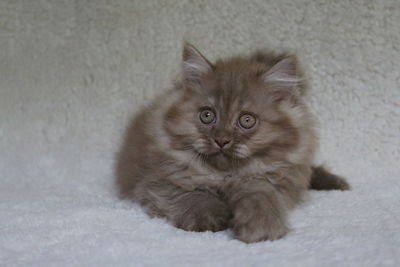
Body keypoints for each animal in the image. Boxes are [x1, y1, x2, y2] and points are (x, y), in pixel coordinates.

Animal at [114, 43, 348, 243]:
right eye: (207, 115)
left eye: (247, 120)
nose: (221, 140)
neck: (225, 176)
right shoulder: (158, 180)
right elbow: (192, 194)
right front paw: (210, 217)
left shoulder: (270, 181)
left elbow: (261, 196)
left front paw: (260, 227)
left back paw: (337, 183)